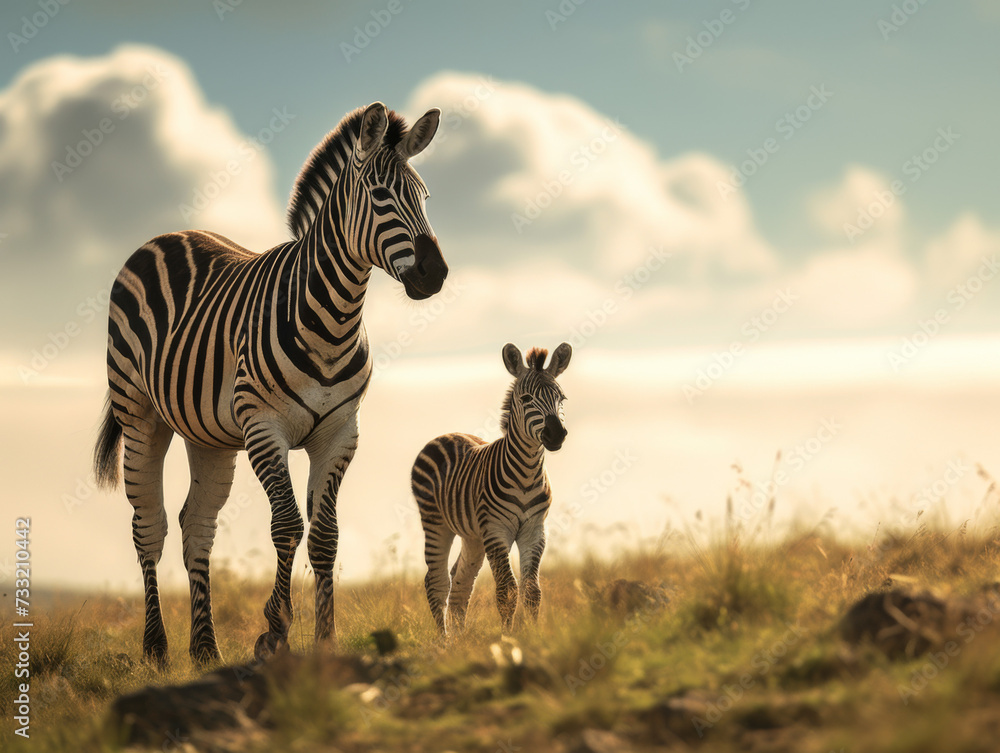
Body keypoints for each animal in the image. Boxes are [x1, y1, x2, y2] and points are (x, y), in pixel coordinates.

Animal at [92, 101, 448, 665]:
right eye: (380, 195)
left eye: (425, 198)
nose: (435, 274)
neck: (333, 321)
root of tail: (167, 235)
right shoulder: (264, 427)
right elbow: (288, 525)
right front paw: (274, 632)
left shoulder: (340, 433)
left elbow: (325, 534)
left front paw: (325, 638)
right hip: (139, 415)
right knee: (149, 525)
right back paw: (156, 648)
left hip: (208, 436)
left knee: (197, 526)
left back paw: (205, 648)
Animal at [411, 342, 572, 633]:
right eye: (526, 399)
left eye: (562, 398)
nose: (556, 434)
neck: (527, 473)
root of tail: (446, 434)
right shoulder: (497, 530)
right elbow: (507, 590)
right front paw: (507, 636)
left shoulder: (534, 530)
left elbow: (532, 590)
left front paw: (534, 635)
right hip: (435, 523)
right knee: (436, 582)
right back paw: (444, 640)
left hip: (473, 535)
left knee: (461, 580)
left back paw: (460, 639)